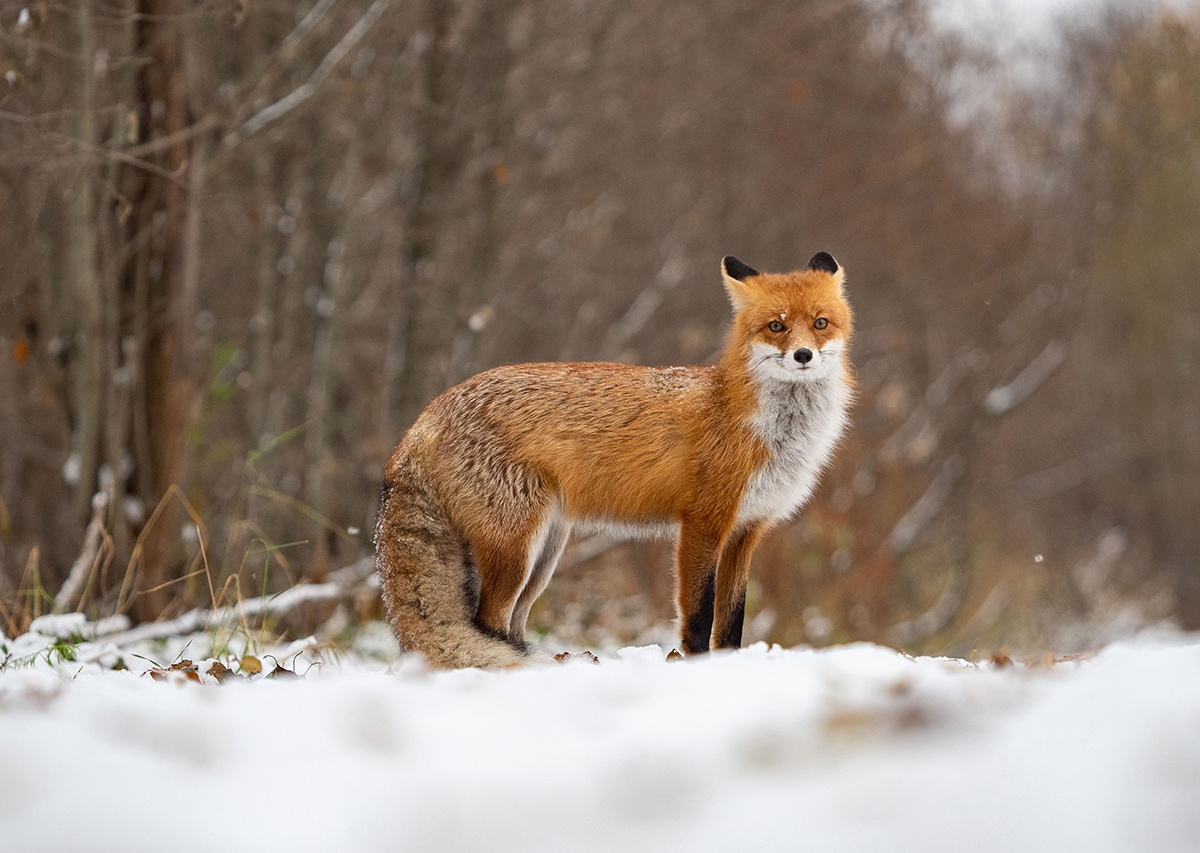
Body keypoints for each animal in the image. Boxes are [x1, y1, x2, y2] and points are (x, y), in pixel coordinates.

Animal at [374, 251, 854, 667]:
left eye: (820, 323)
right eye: (776, 326)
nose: (804, 355)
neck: (766, 430)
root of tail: (422, 419)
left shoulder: (746, 530)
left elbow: (732, 622)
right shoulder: (703, 524)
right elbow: (699, 618)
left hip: (545, 553)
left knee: (510, 625)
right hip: (517, 553)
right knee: (487, 623)